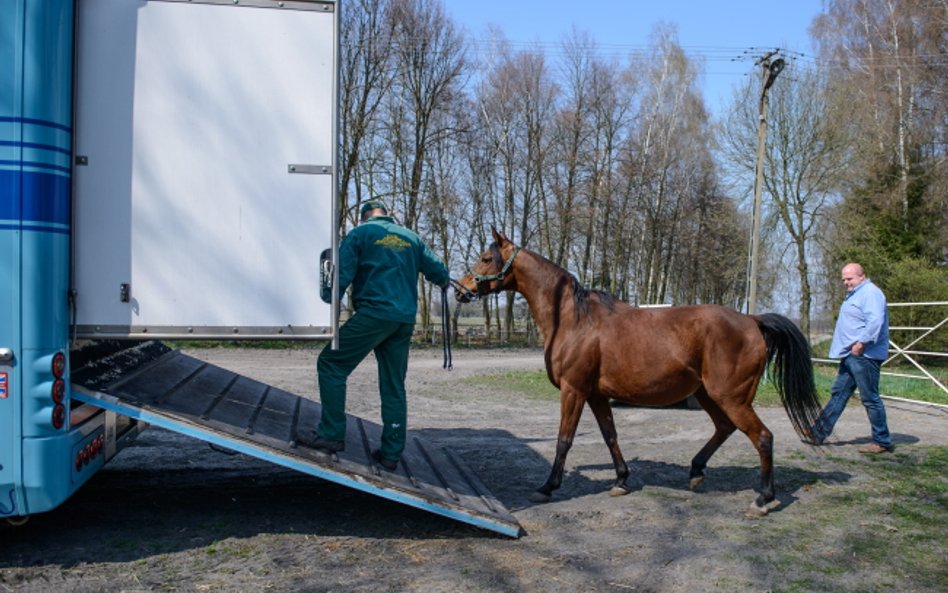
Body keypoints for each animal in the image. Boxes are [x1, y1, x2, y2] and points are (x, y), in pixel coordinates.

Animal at [454, 229, 824, 516]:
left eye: (485, 259)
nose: (460, 290)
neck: (573, 319)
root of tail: (751, 320)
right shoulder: (596, 395)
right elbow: (610, 436)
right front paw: (620, 480)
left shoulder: (574, 390)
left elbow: (564, 440)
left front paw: (547, 487)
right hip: (708, 394)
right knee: (725, 428)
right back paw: (696, 471)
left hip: (730, 397)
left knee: (762, 437)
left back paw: (763, 499)